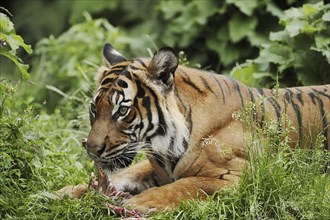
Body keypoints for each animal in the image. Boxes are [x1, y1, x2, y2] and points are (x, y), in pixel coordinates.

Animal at [60, 43, 328, 213]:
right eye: (94, 109)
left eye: (122, 111)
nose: (91, 149)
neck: (164, 148)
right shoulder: (156, 169)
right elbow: (124, 175)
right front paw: (72, 191)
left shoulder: (247, 175)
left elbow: (187, 184)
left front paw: (139, 203)